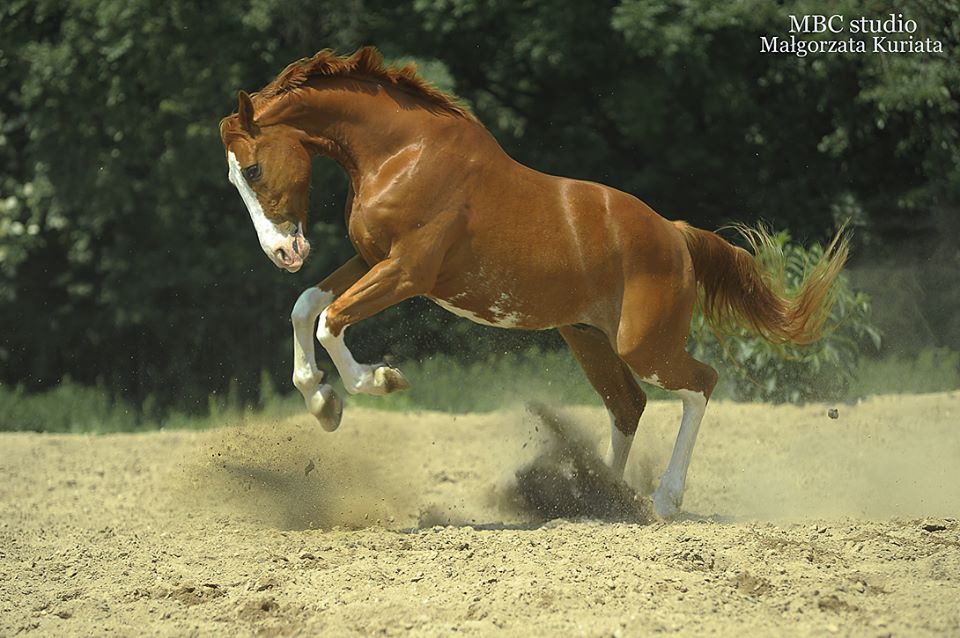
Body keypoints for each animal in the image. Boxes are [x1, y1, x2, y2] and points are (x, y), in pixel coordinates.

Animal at [219, 48, 848, 520]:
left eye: (252, 169)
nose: (282, 252)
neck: (401, 154)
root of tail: (675, 233)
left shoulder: (407, 271)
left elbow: (330, 322)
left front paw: (375, 382)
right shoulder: (370, 259)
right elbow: (307, 307)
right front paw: (322, 402)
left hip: (643, 345)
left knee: (699, 385)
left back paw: (664, 499)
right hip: (588, 338)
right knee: (628, 405)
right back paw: (602, 499)